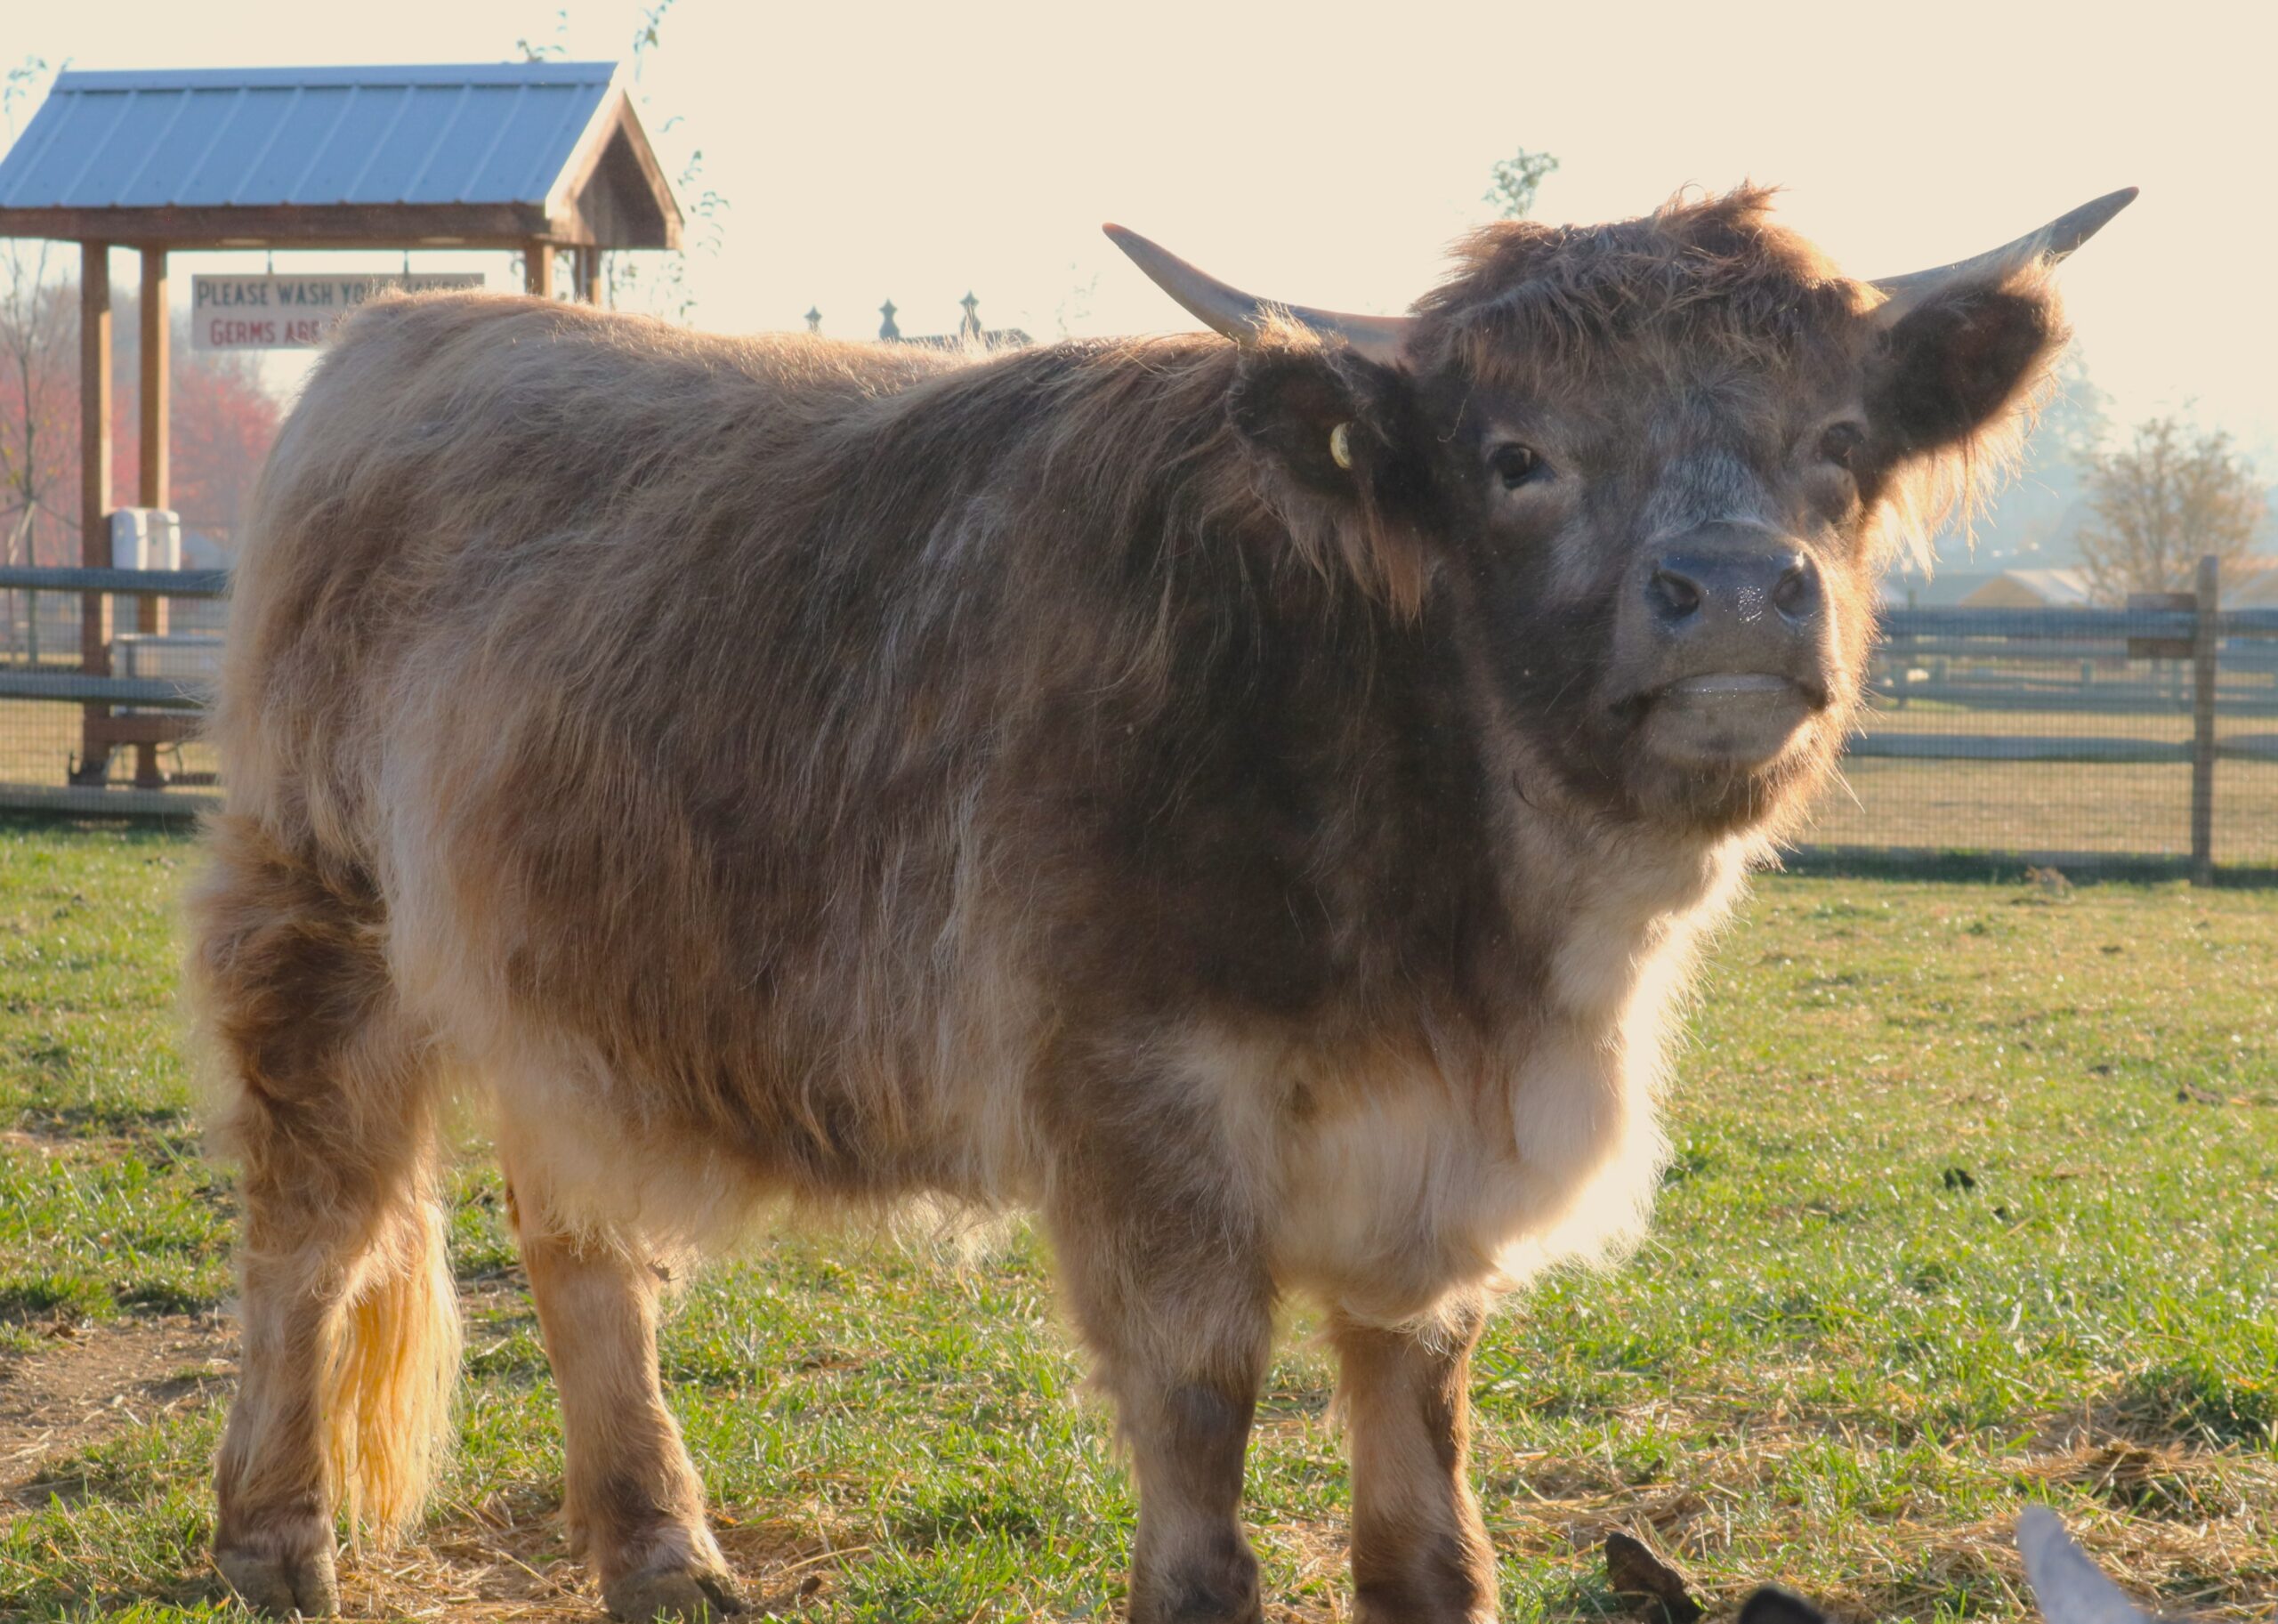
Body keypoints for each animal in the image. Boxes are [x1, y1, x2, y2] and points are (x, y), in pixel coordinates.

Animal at [190, 184, 2131, 1622]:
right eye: (1514, 456)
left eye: (1836, 443)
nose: (1731, 591)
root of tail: (413, 329)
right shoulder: (1140, 1113)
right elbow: (1200, 1442)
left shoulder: (1429, 1181)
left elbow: (1422, 1493)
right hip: (320, 919)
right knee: (311, 1228)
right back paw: (274, 1543)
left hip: (571, 981)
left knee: (579, 1238)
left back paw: (665, 1554)